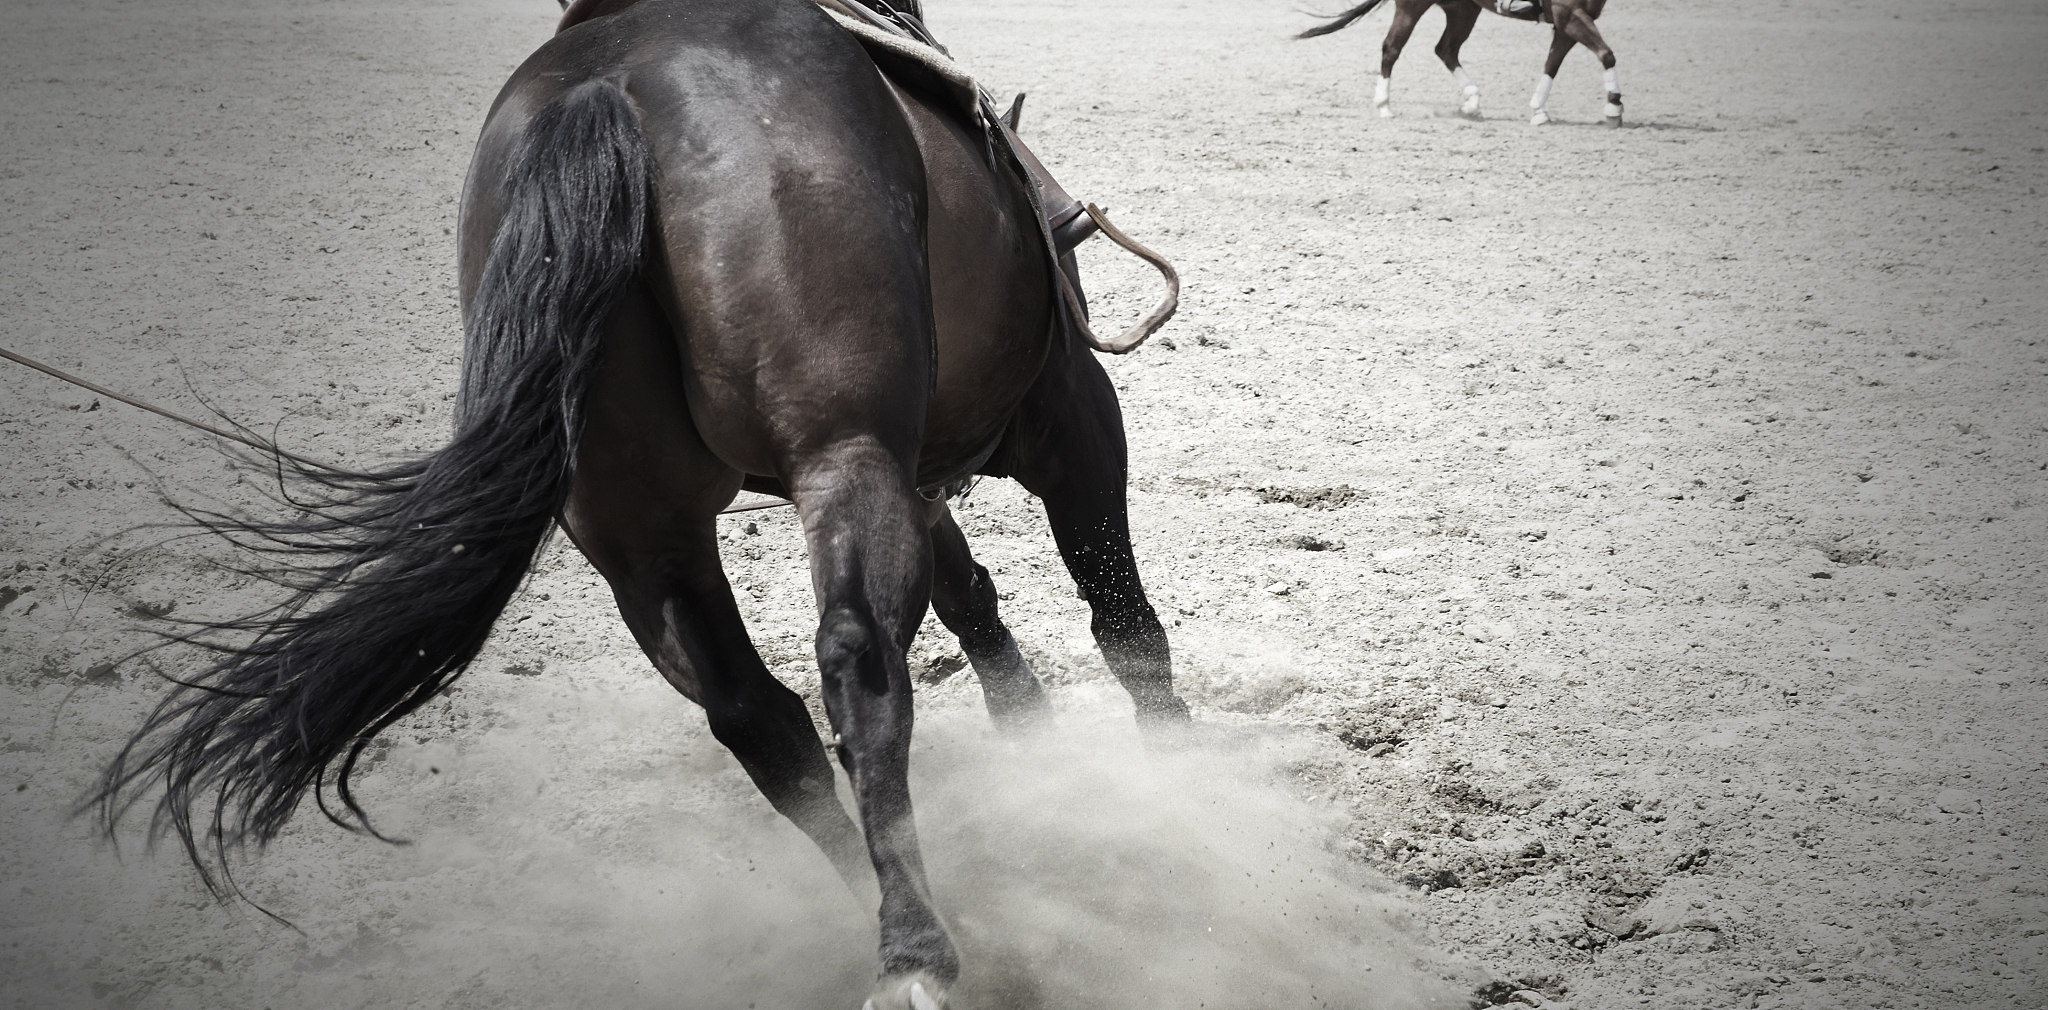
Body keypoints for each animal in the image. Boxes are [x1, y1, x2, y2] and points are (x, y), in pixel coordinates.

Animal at [86, 0, 1191, 1006]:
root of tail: (603, 91)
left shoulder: (921, 466)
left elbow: (972, 591)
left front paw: (1034, 744)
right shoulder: (1064, 412)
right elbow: (1119, 612)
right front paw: (1164, 772)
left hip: (642, 533)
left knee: (760, 721)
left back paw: (925, 928)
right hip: (846, 453)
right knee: (856, 660)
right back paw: (924, 947)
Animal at [1299, 0, 1622, 126]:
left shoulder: (1567, 21)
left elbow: (1552, 64)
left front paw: (1539, 110)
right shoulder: (1569, 13)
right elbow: (1607, 54)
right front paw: (1614, 108)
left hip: (1463, 9)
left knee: (1447, 49)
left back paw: (1472, 101)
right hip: (1413, 7)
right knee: (1392, 49)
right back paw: (1384, 105)